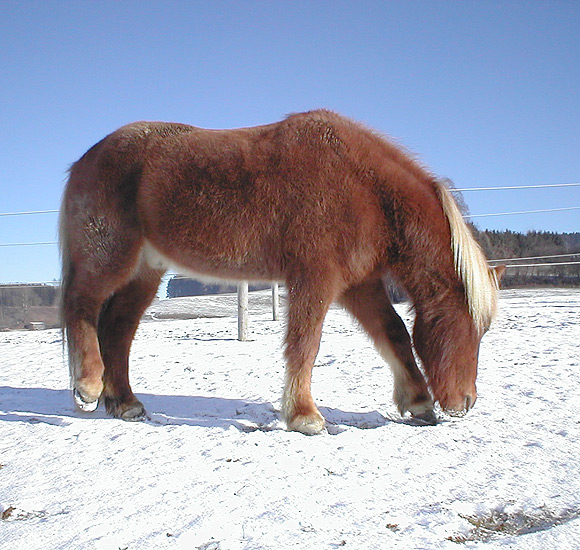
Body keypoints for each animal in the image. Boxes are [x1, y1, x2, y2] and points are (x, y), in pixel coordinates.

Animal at [60, 109, 502, 436]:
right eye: (468, 324)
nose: (466, 403)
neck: (362, 186)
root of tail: (86, 158)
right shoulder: (315, 278)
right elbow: (306, 343)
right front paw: (304, 416)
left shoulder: (359, 284)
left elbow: (393, 332)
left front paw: (418, 402)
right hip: (110, 258)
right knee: (81, 305)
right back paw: (88, 387)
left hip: (145, 273)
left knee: (117, 328)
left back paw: (126, 404)